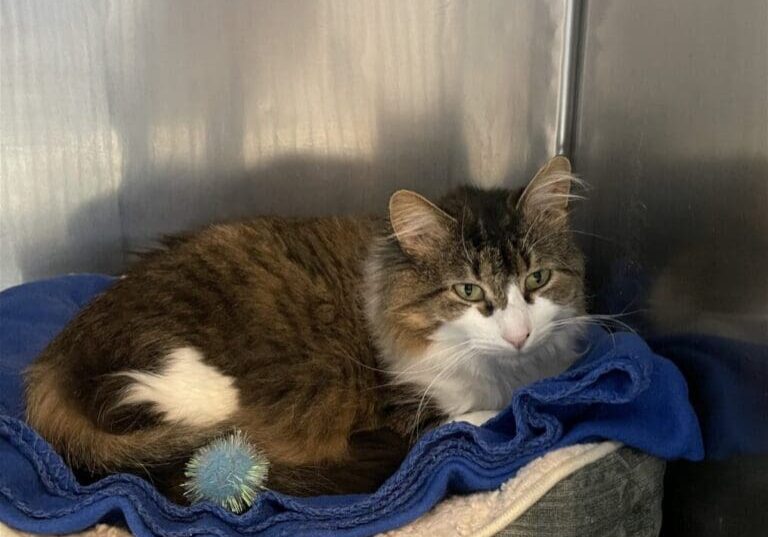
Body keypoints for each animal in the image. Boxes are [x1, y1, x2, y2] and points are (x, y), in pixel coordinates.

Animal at [25, 155, 588, 498]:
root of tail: (57, 356)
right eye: (468, 291)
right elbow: (478, 419)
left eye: (537, 278)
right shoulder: (408, 410)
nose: (518, 335)